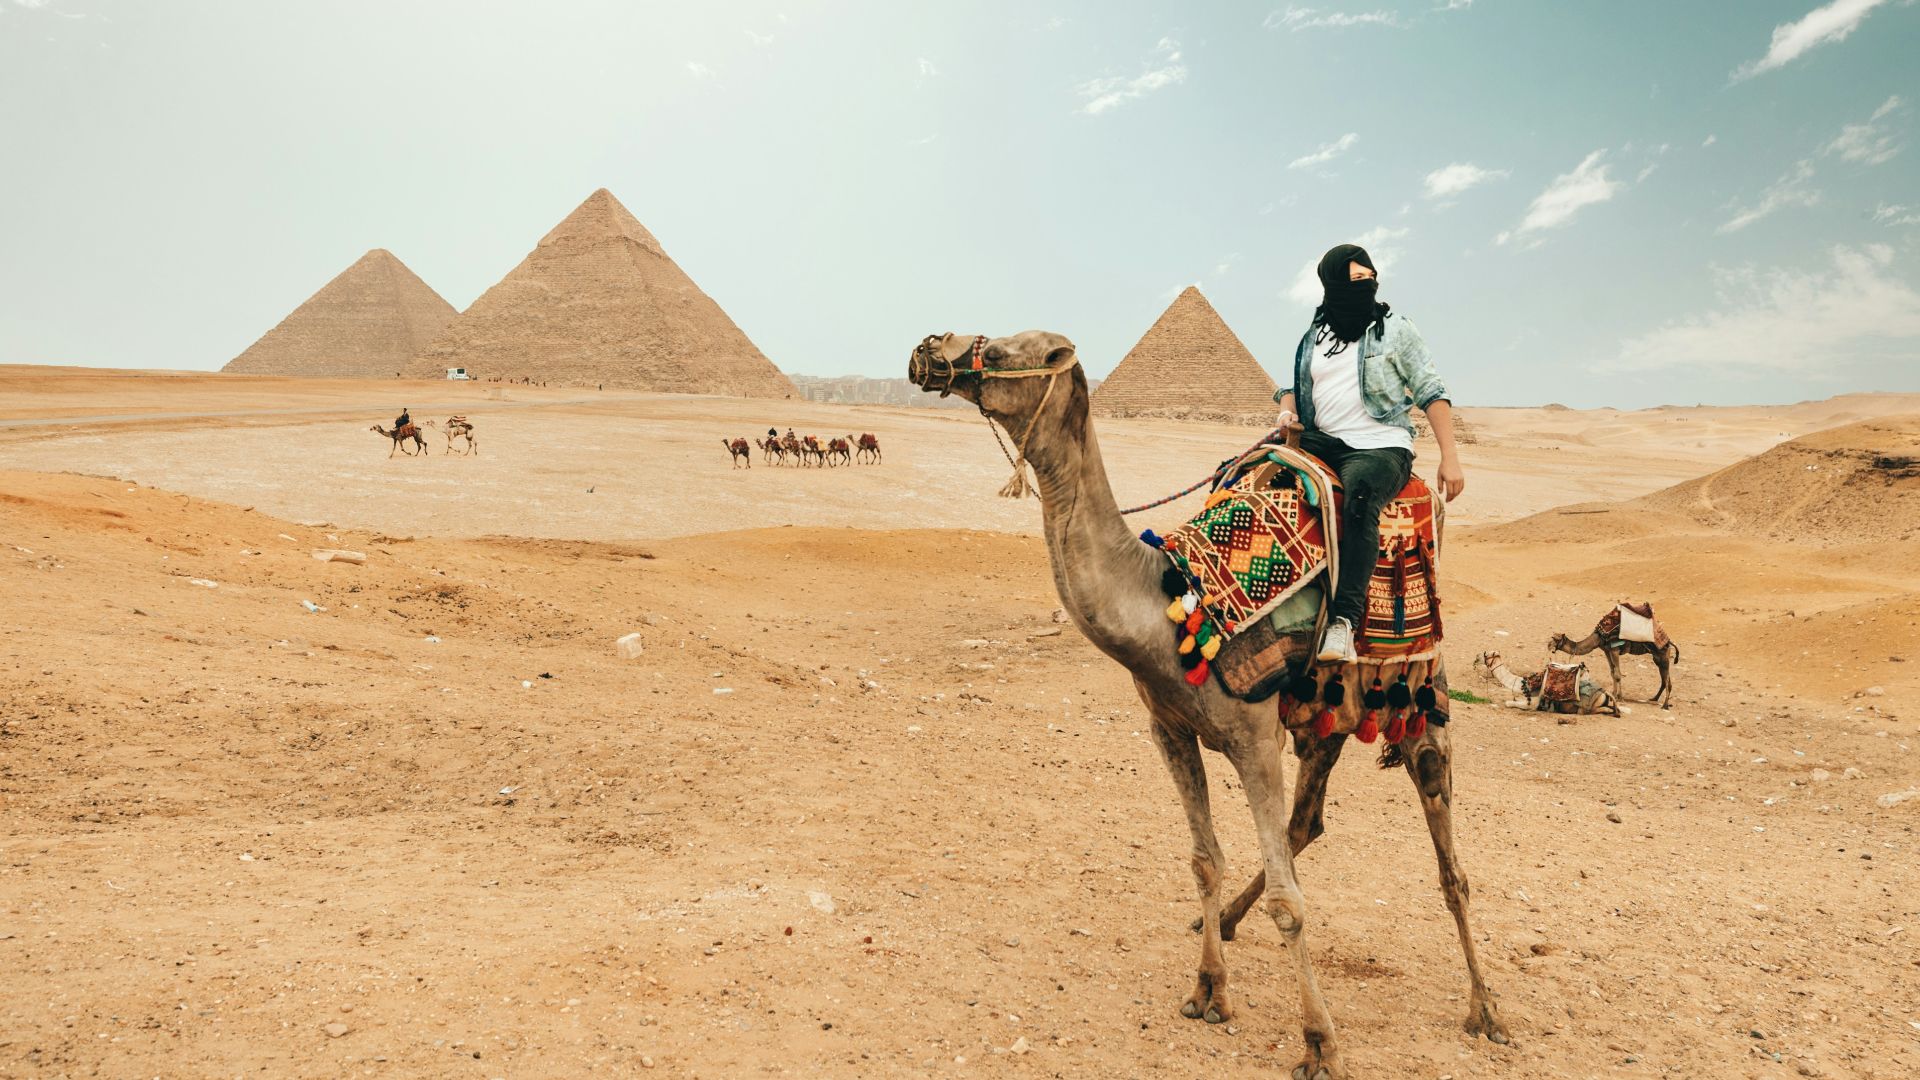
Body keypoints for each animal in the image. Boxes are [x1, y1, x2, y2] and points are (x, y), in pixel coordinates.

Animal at [908, 331, 1506, 1079]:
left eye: (1013, 348)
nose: (929, 349)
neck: (1167, 605)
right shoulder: (1171, 729)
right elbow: (1205, 859)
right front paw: (1209, 989)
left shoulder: (1251, 739)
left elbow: (1289, 903)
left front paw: (1319, 1042)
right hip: (1325, 717)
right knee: (1307, 822)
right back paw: (1222, 921)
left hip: (1421, 703)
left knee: (1451, 867)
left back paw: (1487, 1010)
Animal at [1474, 651, 1619, 718]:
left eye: (1486, 654)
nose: (1476, 657)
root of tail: (1604, 692)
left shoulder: (1532, 704)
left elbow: (1509, 703)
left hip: (1587, 708)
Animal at [1549, 605, 1679, 709]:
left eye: (1556, 639)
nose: (1548, 646)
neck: (1599, 637)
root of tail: (1668, 641)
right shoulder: (1607, 650)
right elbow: (1612, 672)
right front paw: (1613, 694)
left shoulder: (1615, 649)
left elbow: (1617, 674)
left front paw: (1619, 697)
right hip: (1658, 657)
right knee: (1665, 679)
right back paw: (1654, 699)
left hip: (1662, 654)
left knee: (1666, 679)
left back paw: (1665, 705)